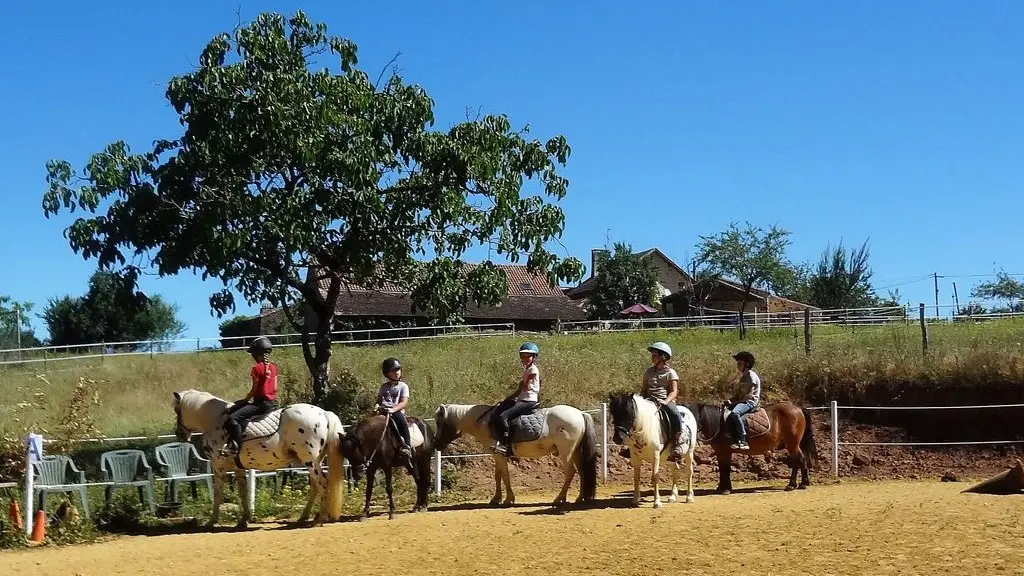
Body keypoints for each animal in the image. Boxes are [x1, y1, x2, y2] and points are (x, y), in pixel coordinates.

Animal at [168, 387, 344, 528]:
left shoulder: (218, 466)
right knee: (315, 486)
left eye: (177, 411)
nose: (180, 434)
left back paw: (320, 519)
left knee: (322, 484)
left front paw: (212, 521)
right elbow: (243, 492)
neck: (215, 419)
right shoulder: (237, 468)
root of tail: (323, 413)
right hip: (313, 461)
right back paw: (305, 518)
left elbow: (218, 494)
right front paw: (243, 519)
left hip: (310, 461)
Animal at [434, 401, 598, 504]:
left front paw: (508, 499)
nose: (436, 444)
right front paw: (496, 499)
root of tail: (580, 413)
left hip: (566, 453)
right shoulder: (497, 455)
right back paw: (580, 498)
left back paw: (559, 498)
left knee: (571, 472)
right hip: (575, 452)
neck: (484, 422)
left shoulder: (499, 454)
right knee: (582, 471)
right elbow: (498, 475)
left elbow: (505, 476)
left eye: (439, 422)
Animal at [684, 401, 819, 491]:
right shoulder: (720, 452)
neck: (720, 424)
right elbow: (723, 468)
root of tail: (798, 408)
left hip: (793, 443)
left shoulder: (725, 452)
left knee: (799, 460)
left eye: (695, 416)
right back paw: (799, 483)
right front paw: (722, 487)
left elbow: (725, 469)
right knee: (799, 461)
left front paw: (725, 489)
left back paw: (796, 484)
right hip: (793, 444)